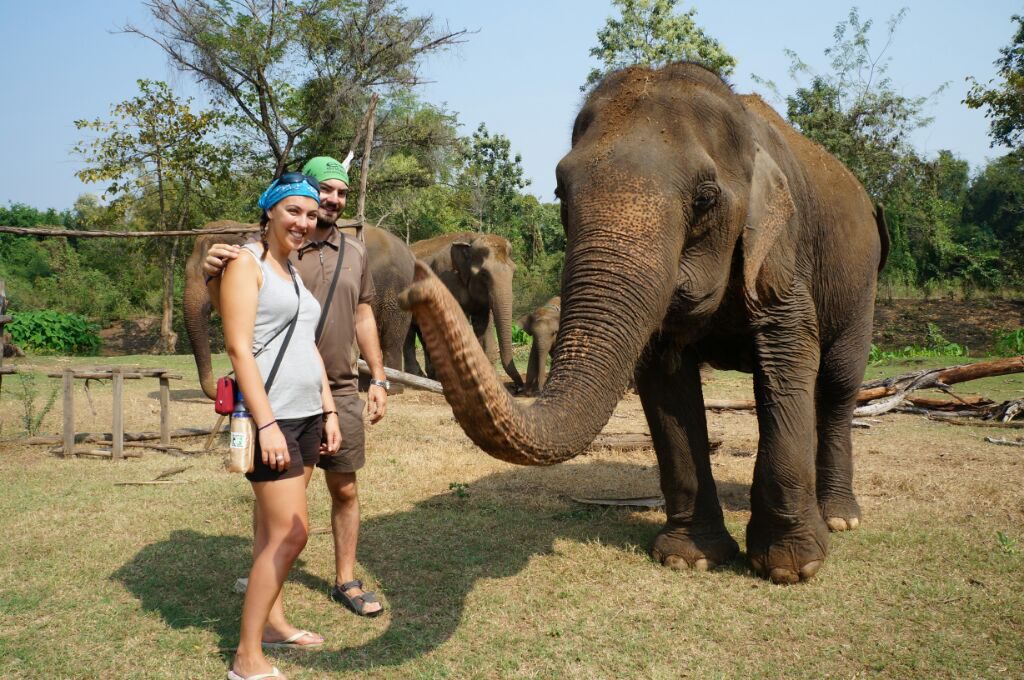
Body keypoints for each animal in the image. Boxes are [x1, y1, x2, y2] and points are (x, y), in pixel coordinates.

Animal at [401, 232, 524, 387]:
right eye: (484, 274)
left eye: (514, 271)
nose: (518, 387)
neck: (470, 240)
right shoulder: (446, 279)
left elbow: (484, 323)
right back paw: (417, 375)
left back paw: (432, 376)